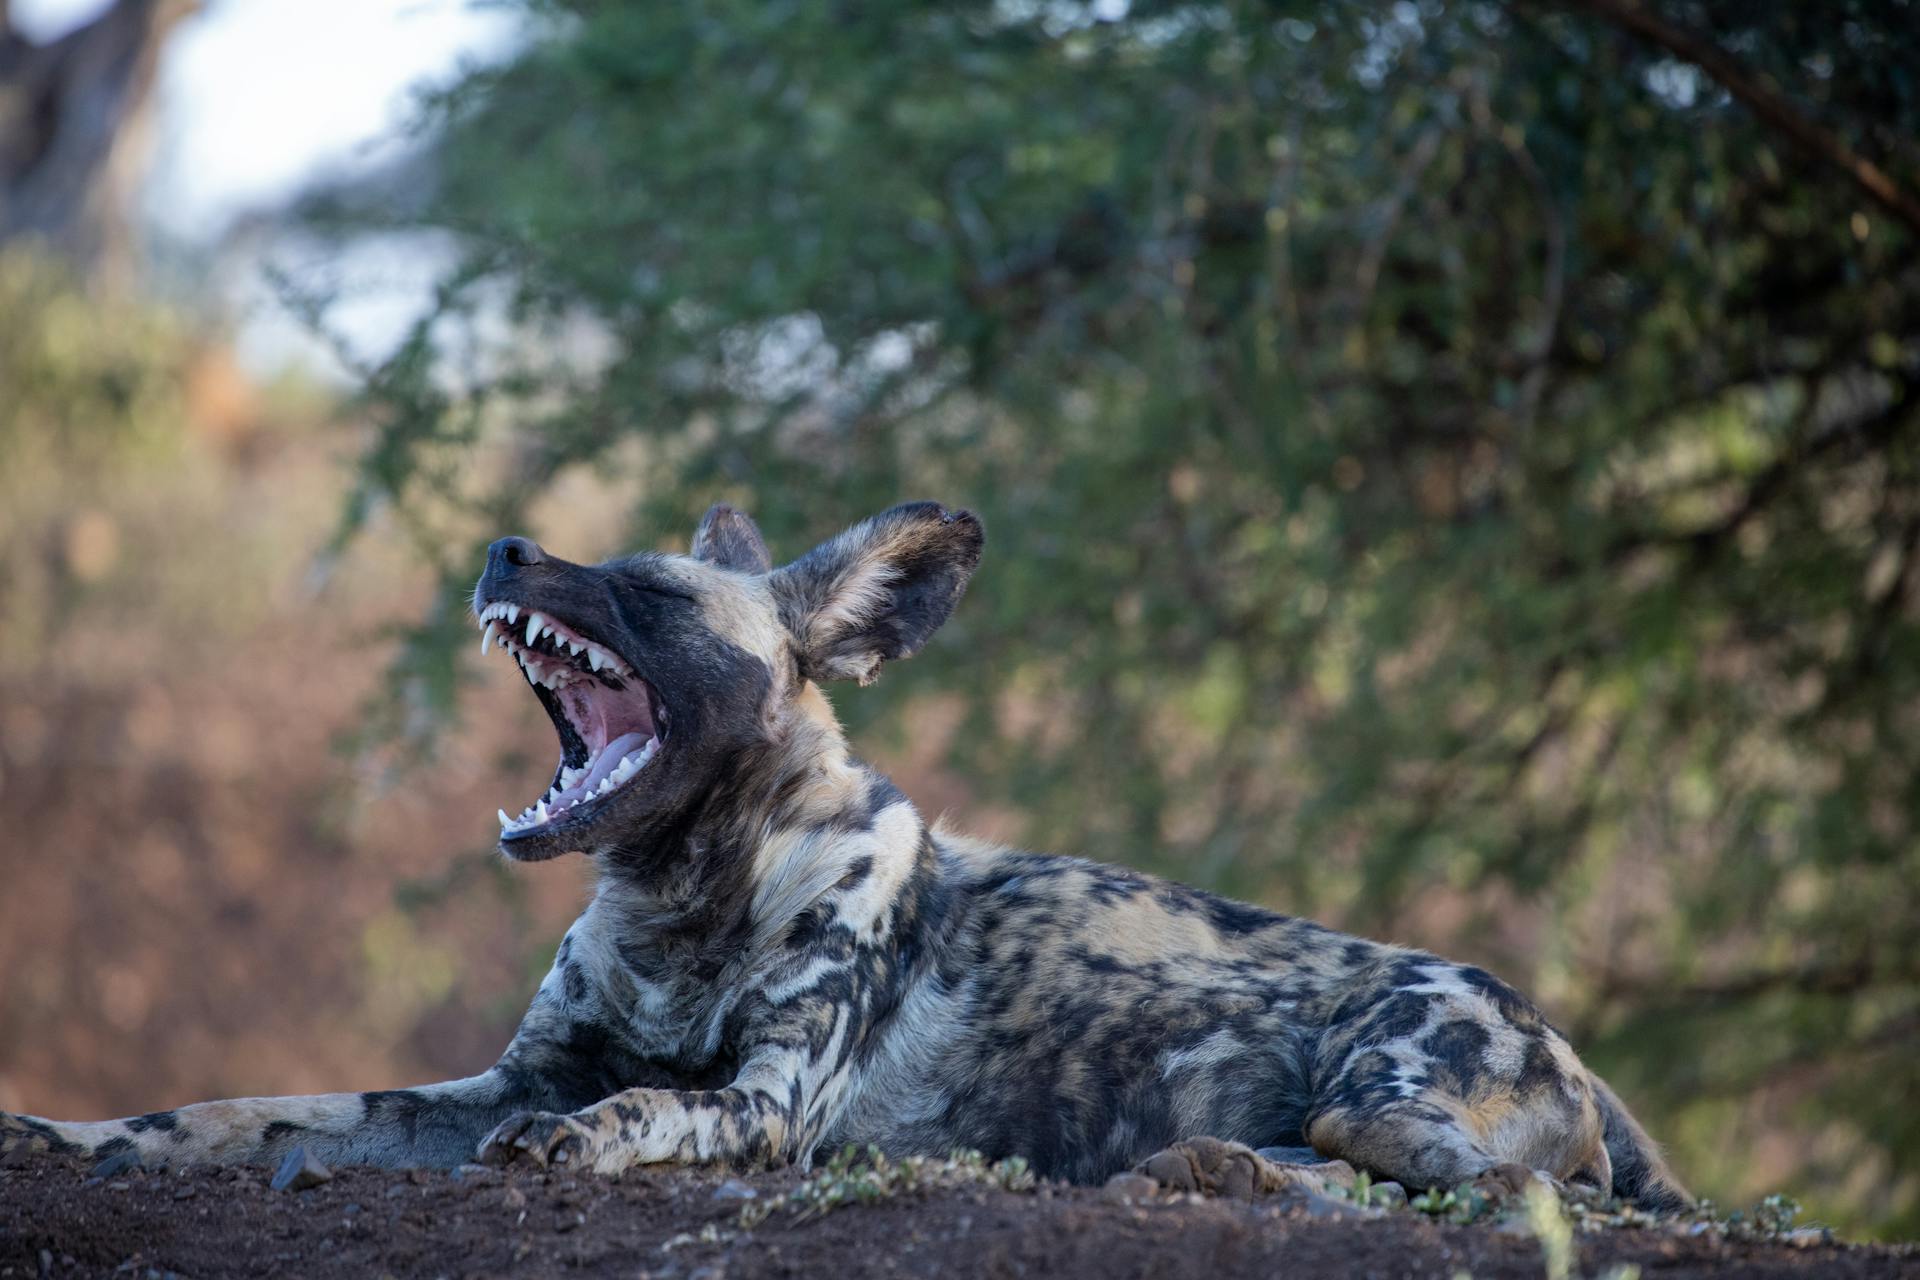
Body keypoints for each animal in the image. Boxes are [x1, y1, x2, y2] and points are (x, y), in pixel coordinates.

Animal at [0, 502, 1689, 1212]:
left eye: (642, 591)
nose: (501, 548)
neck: (685, 909)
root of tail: (1566, 1040)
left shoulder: (759, 1109)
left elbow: (634, 1113)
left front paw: (584, 1145)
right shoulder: (483, 1082)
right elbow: (230, 1111)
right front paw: (68, 1135)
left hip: (1386, 1079)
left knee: (1503, 1191)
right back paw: (1206, 1168)